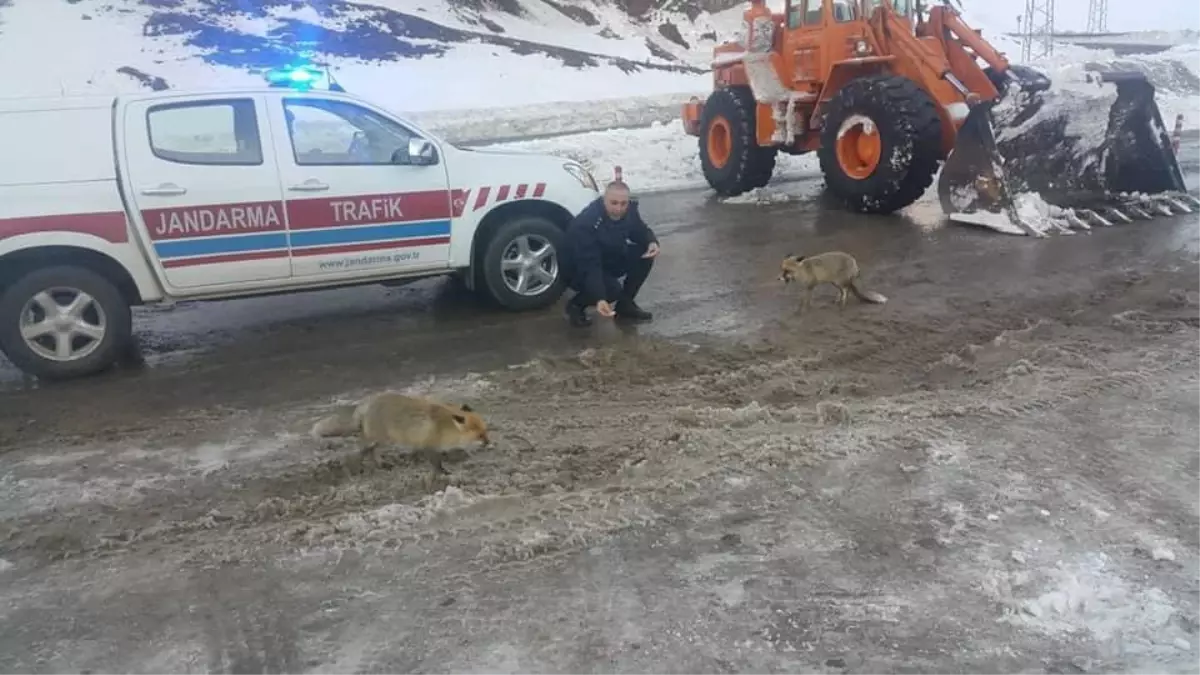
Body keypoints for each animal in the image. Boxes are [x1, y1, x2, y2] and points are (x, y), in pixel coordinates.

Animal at [316, 391, 494, 475]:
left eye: (485, 432)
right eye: (479, 435)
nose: (488, 442)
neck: (444, 427)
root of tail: (368, 402)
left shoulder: (420, 441)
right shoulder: (429, 445)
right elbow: (436, 463)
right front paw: (443, 473)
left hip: (383, 440)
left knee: (371, 451)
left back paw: (380, 464)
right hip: (381, 438)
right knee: (363, 447)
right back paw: (359, 466)